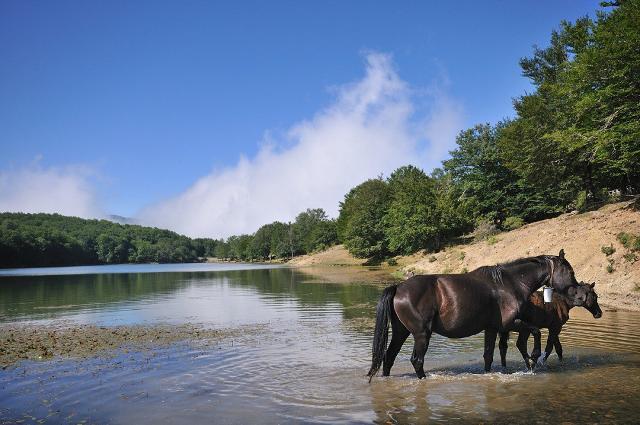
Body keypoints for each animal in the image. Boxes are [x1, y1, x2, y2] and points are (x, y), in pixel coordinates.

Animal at [367, 250, 581, 380]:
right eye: (570, 271)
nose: (578, 294)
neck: (509, 284)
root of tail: (399, 287)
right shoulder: (508, 323)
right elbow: (536, 331)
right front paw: (534, 357)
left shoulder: (492, 328)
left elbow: (488, 356)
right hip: (421, 334)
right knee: (416, 361)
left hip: (401, 332)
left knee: (389, 357)